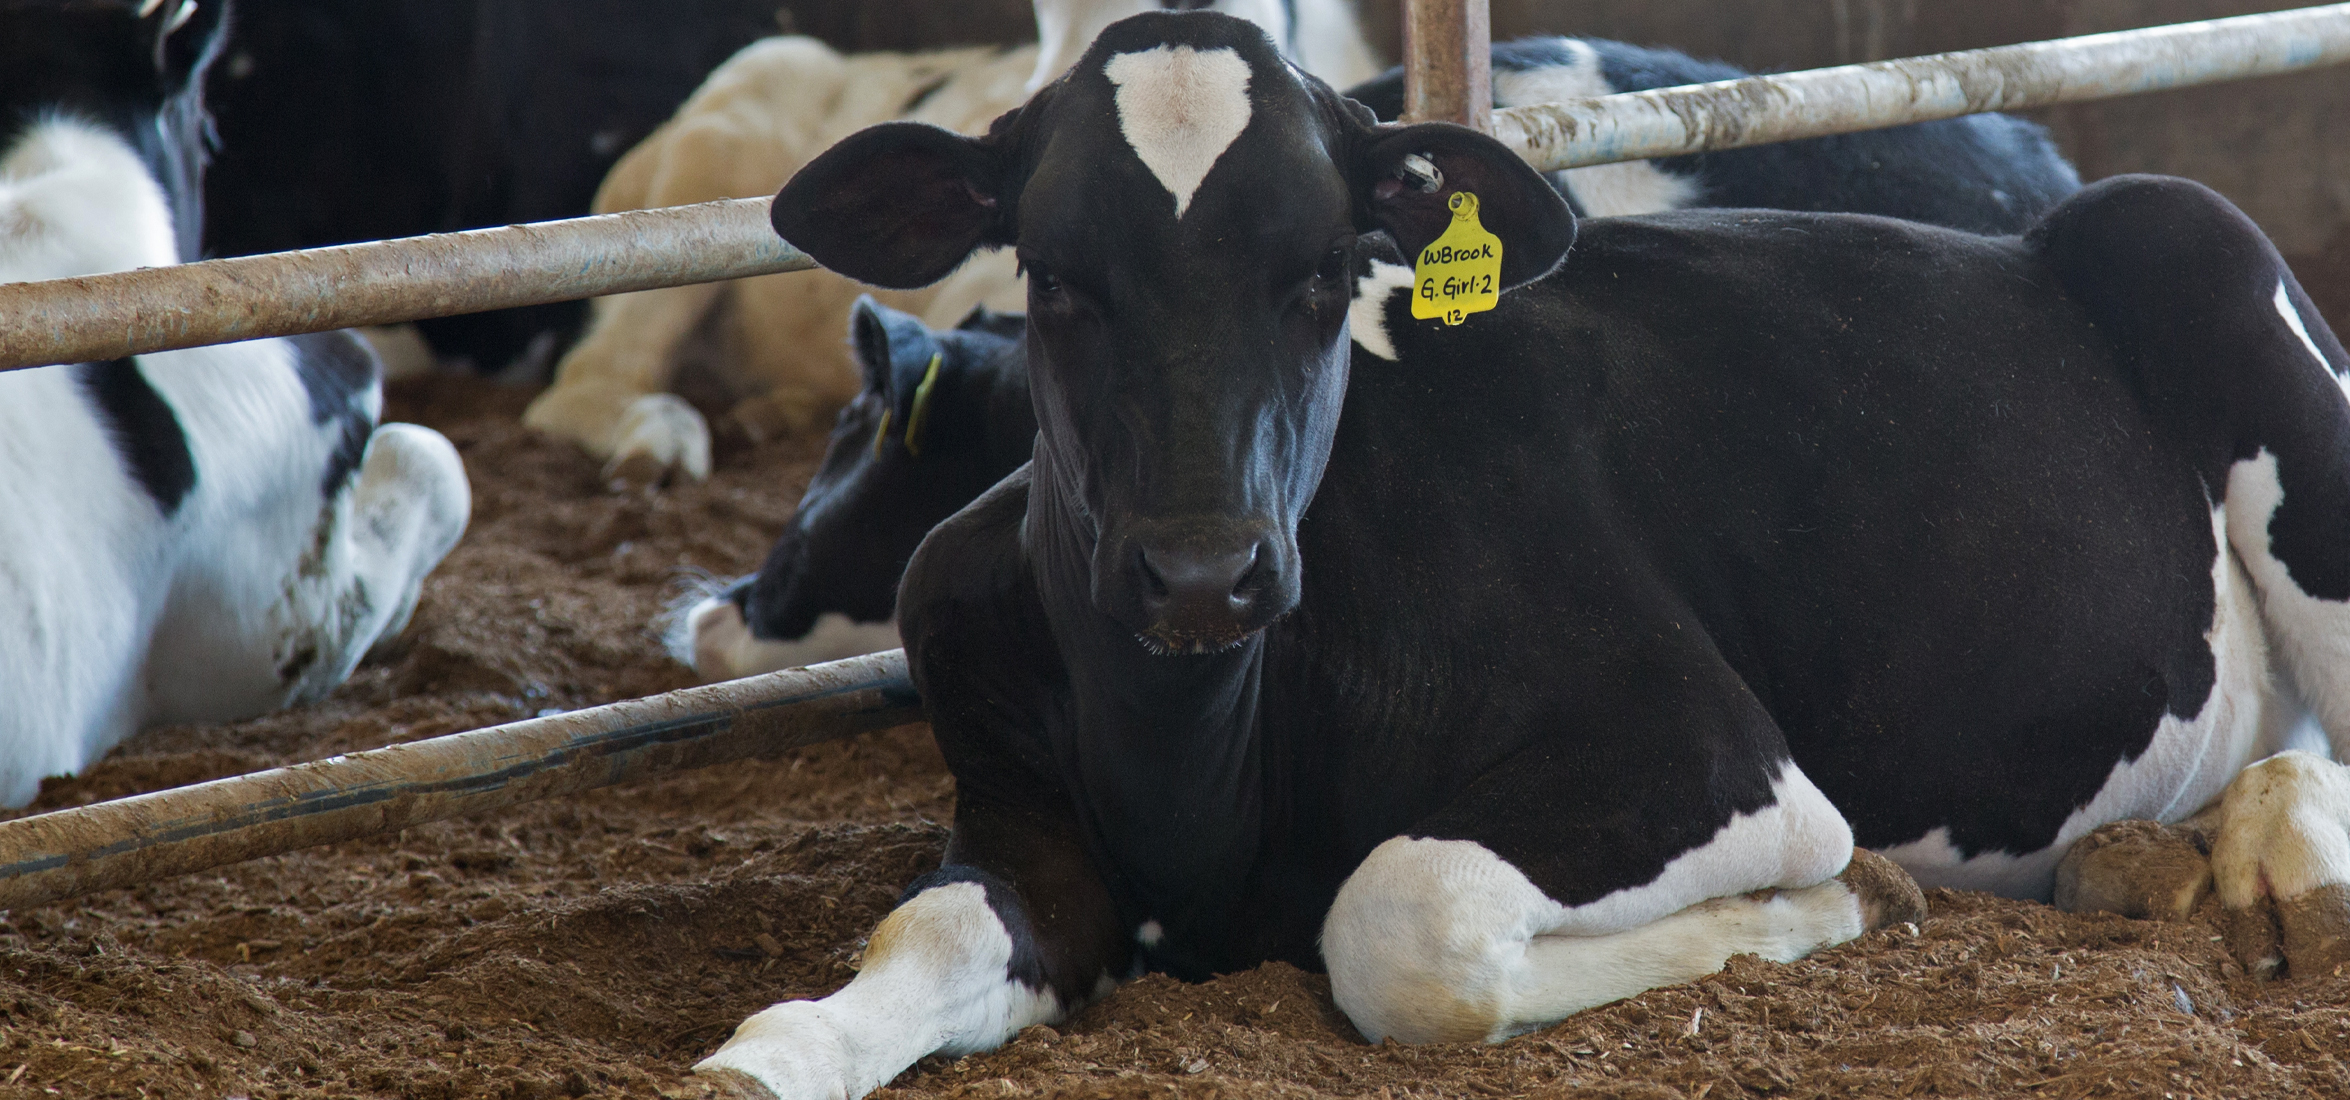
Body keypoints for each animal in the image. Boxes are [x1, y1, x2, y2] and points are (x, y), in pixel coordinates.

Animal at [686, 10, 2350, 1100]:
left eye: (1323, 271)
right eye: (1052, 272)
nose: (1201, 572)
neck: (1198, 764)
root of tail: (2025, 223)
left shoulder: (1707, 753)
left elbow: (1399, 920)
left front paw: (1842, 901)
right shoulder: (1020, 813)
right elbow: (919, 932)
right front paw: (776, 1051)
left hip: (2199, 257)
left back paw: (2277, 854)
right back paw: (2155, 856)